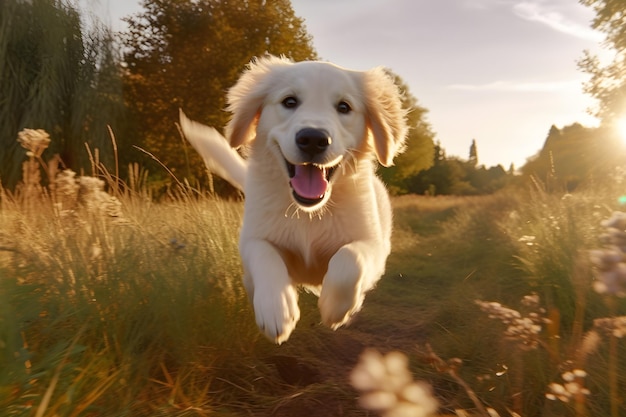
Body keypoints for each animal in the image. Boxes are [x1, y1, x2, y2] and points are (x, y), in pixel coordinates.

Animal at [178, 54, 408, 342]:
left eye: (344, 107)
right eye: (290, 102)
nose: (313, 138)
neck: (309, 213)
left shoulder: (373, 245)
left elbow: (349, 260)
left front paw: (335, 308)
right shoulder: (253, 237)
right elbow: (264, 255)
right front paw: (277, 309)